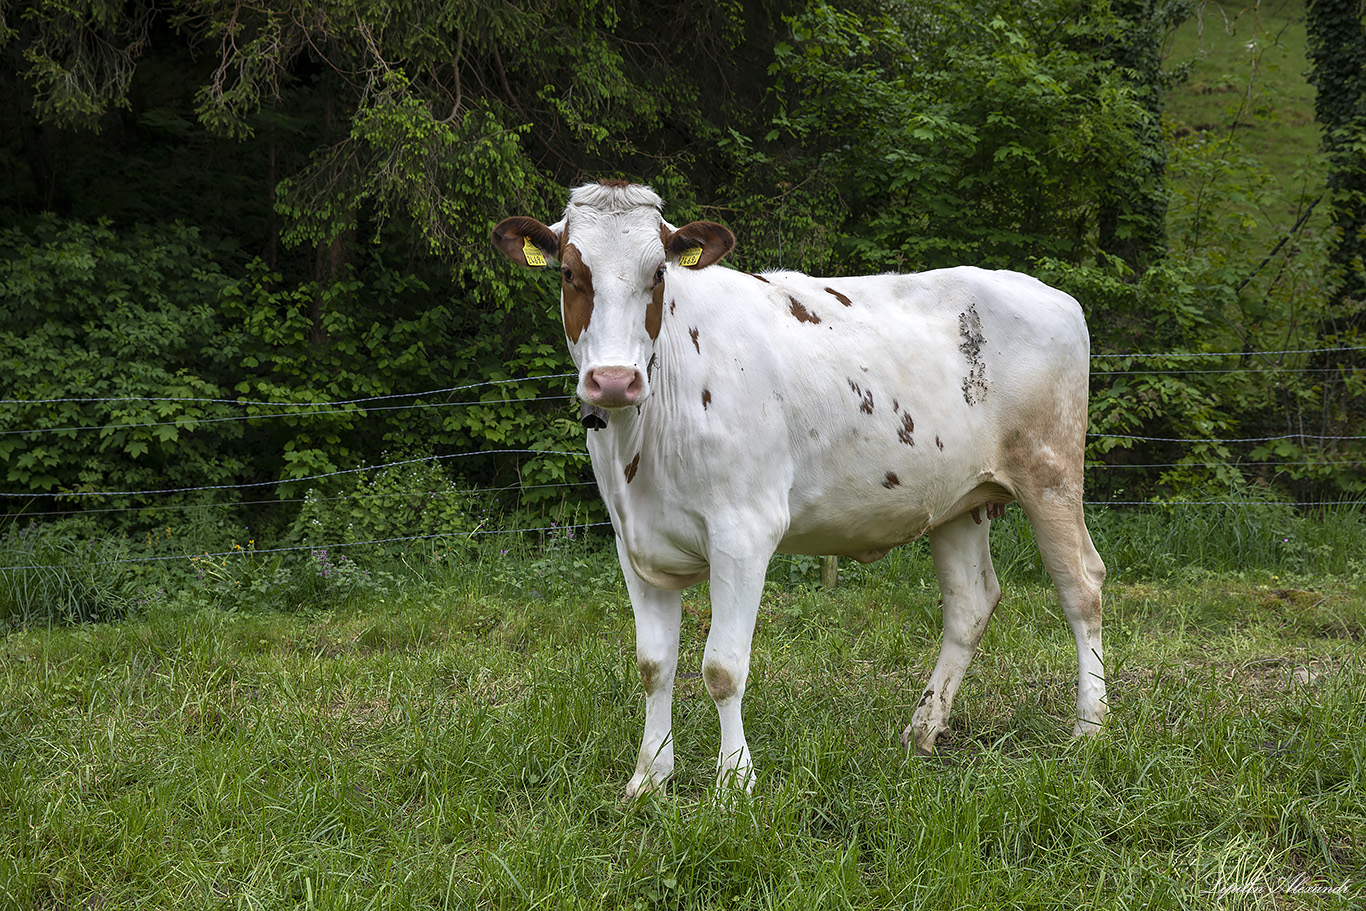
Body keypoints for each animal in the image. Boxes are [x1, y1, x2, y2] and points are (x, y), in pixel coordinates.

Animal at [494, 180, 1109, 797]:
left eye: (659, 273)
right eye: (570, 272)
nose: (615, 381)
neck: (642, 441)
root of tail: (1050, 293)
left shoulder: (744, 532)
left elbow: (722, 668)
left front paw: (734, 784)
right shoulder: (634, 539)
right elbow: (654, 664)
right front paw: (648, 778)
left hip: (1051, 474)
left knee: (1082, 587)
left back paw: (1090, 728)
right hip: (958, 500)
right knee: (970, 604)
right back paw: (923, 730)